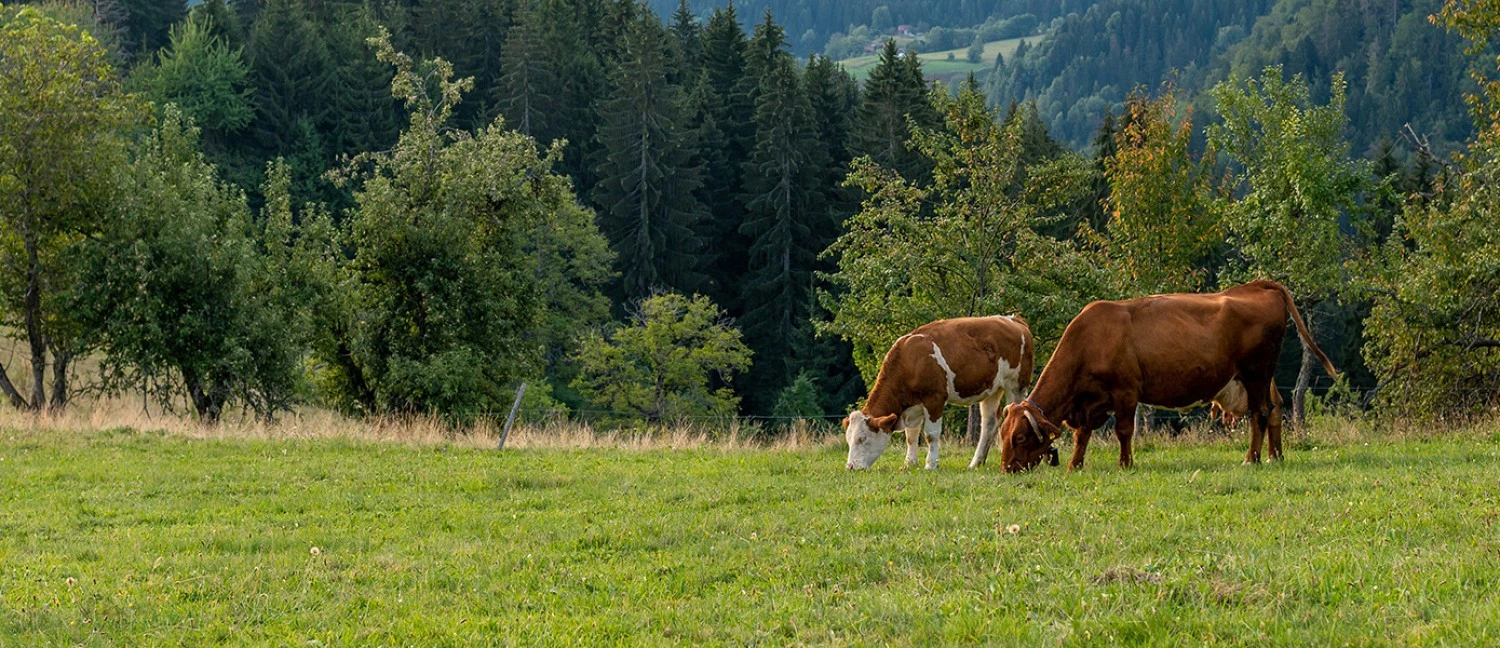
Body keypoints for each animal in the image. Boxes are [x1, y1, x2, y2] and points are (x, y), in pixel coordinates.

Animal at [840, 315, 1038, 471]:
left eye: (862, 439)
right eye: (848, 440)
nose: (850, 467)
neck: (909, 360)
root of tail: (1014, 319)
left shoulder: (934, 399)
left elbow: (930, 435)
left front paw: (930, 465)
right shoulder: (913, 406)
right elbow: (911, 436)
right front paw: (909, 463)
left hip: (1016, 385)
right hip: (992, 390)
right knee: (989, 423)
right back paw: (976, 462)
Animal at [996, 280, 1338, 474]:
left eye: (1020, 437)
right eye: (1002, 434)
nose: (1006, 469)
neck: (1091, 339)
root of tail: (1254, 287)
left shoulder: (1126, 392)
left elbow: (1123, 431)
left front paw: (1125, 464)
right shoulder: (1091, 402)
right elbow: (1082, 435)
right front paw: (1074, 465)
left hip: (1256, 372)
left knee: (1261, 413)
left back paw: (1252, 458)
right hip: (1260, 377)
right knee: (1274, 408)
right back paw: (1274, 456)